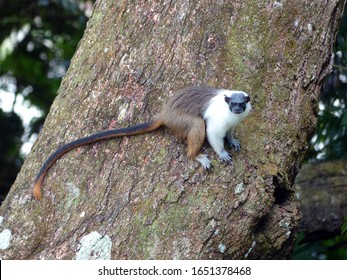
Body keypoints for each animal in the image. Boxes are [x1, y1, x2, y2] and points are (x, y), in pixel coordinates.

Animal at [32, 86, 251, 199]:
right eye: (233, 104)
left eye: (241, 104)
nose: (237, 109)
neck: (230, 111)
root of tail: (165, 112)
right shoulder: (219, 118)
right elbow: (213, 133)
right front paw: (222, 152)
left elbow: (230, 131)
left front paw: (232, 140)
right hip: (178, 119)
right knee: (197, 123)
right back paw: (195, 155)